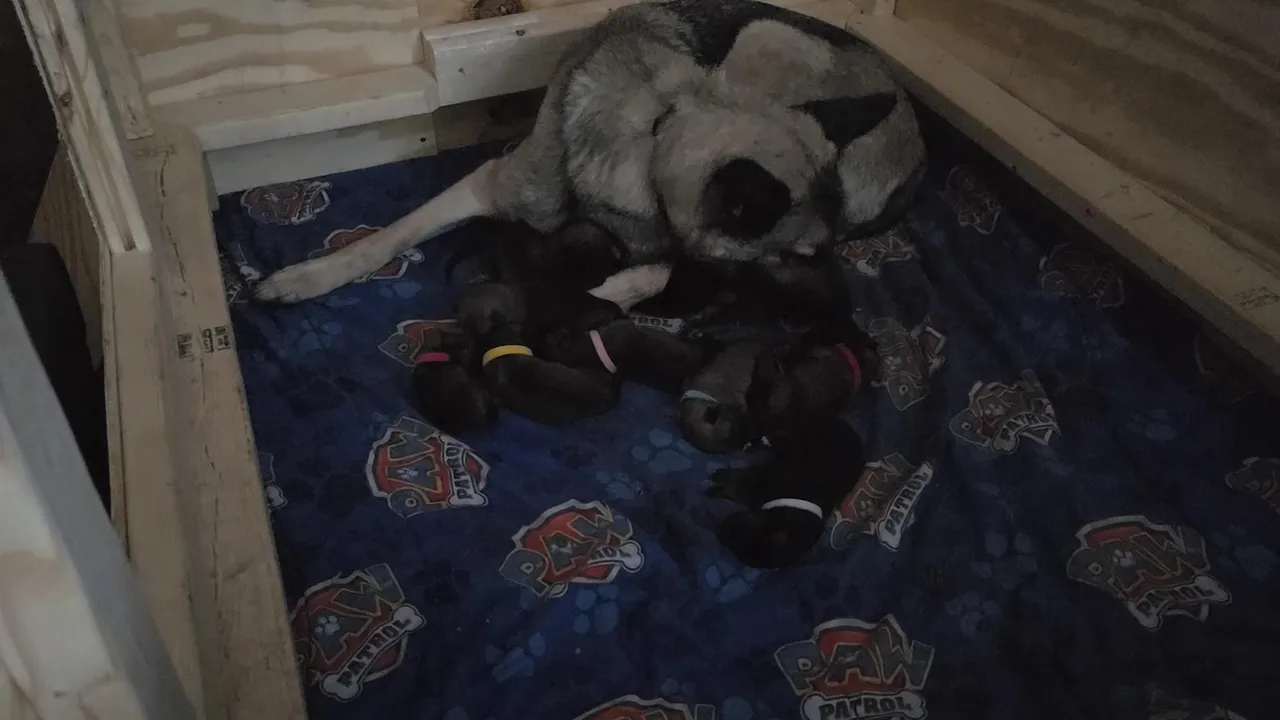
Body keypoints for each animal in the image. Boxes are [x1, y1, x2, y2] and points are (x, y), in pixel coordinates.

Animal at [253, 0, 925, 312]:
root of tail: (917, 145)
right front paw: (311, 275)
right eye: (794, 257)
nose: (844, 306)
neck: (654, 132)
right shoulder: (489, 182)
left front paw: (601, 294)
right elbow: (388, 237)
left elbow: (648, 273)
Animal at [708, 417, 865, 569]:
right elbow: (738, 479)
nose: (718, 530)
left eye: (739, 550)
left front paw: (715, 489)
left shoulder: (758, 486)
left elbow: (739, 489)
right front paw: (717, 480)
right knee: (776, 438)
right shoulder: (763, 475)